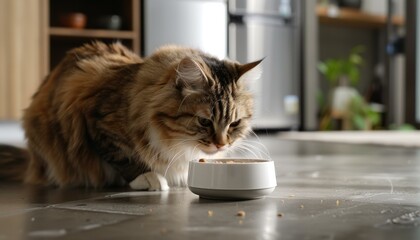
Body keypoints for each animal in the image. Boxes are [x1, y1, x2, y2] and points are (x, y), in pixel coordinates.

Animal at [0, 41, 260, 191]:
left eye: (234, 123)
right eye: (204, 121)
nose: (221, 145)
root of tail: (31, 160)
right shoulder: (96, 121)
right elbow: (123, 157)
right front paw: (149, 178)